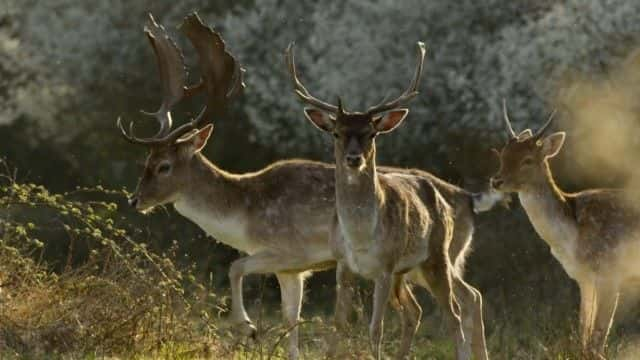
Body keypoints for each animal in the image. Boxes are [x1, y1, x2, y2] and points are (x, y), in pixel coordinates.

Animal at [288, 41, 490, 358]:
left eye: (371, 133)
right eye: (336, 133)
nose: (354, 158)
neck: (360, 237)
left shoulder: (384, 266)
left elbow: (376, 329)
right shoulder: (343, 264)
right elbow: (338, 325)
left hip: (437, 256)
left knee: (454, 313)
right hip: (409, 272)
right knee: (418, 310)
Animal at [490, 100, 640, 358]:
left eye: (528, 159)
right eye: (503, 153)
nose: (496, 181)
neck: (571, 237)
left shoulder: (610, 272)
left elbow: (597, 338)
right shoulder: (583, 278)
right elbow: (583, 333)